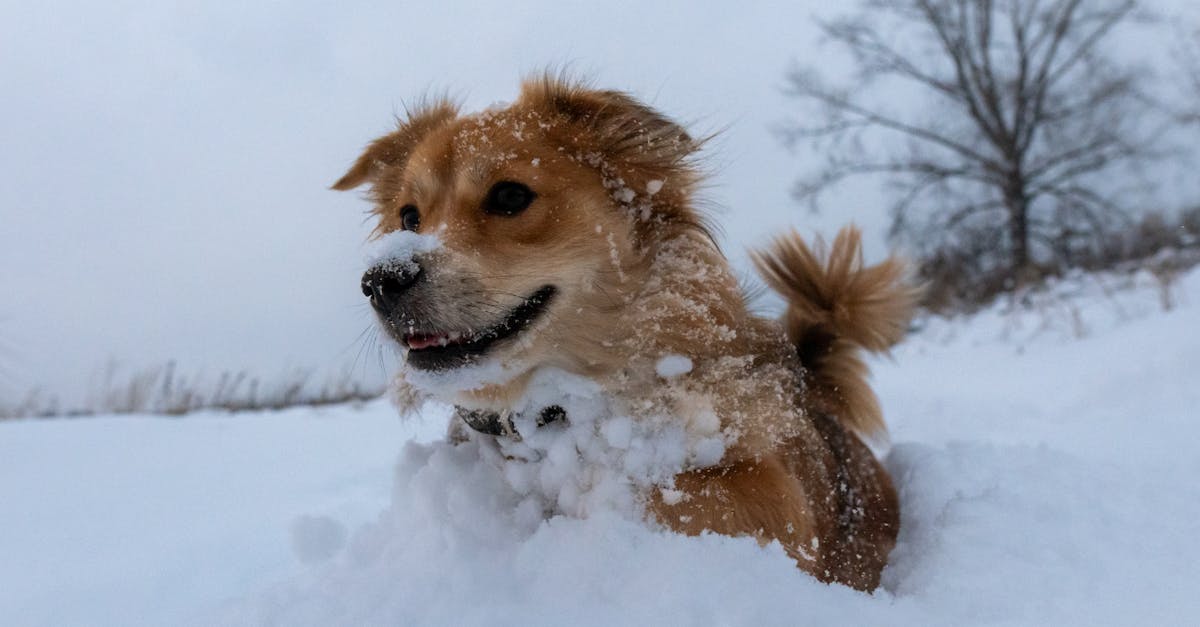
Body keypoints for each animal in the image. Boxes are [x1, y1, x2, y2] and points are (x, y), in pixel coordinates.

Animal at [333, 75, 912, 588]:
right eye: (410, 217)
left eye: (509, 197)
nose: (380, 280)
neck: (562, 416)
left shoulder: (774, 501)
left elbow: (681, 497)